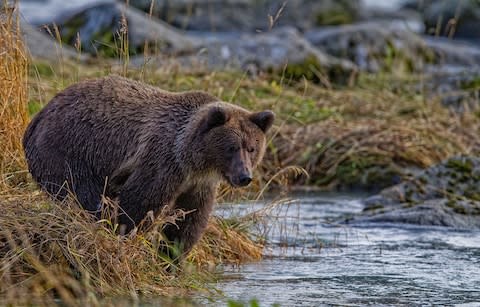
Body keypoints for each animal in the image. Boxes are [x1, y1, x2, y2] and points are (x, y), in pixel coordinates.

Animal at [22, 76, 276, 258]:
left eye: (252, 148)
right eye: (231, 147)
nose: (244, 176)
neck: (190, 157)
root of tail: (37, 118)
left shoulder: (198, 183)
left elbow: (189, 219)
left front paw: (172, 255)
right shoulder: (162, 162)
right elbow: (140, 202)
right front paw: (126, 235)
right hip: (71, 149)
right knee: (83, 194)